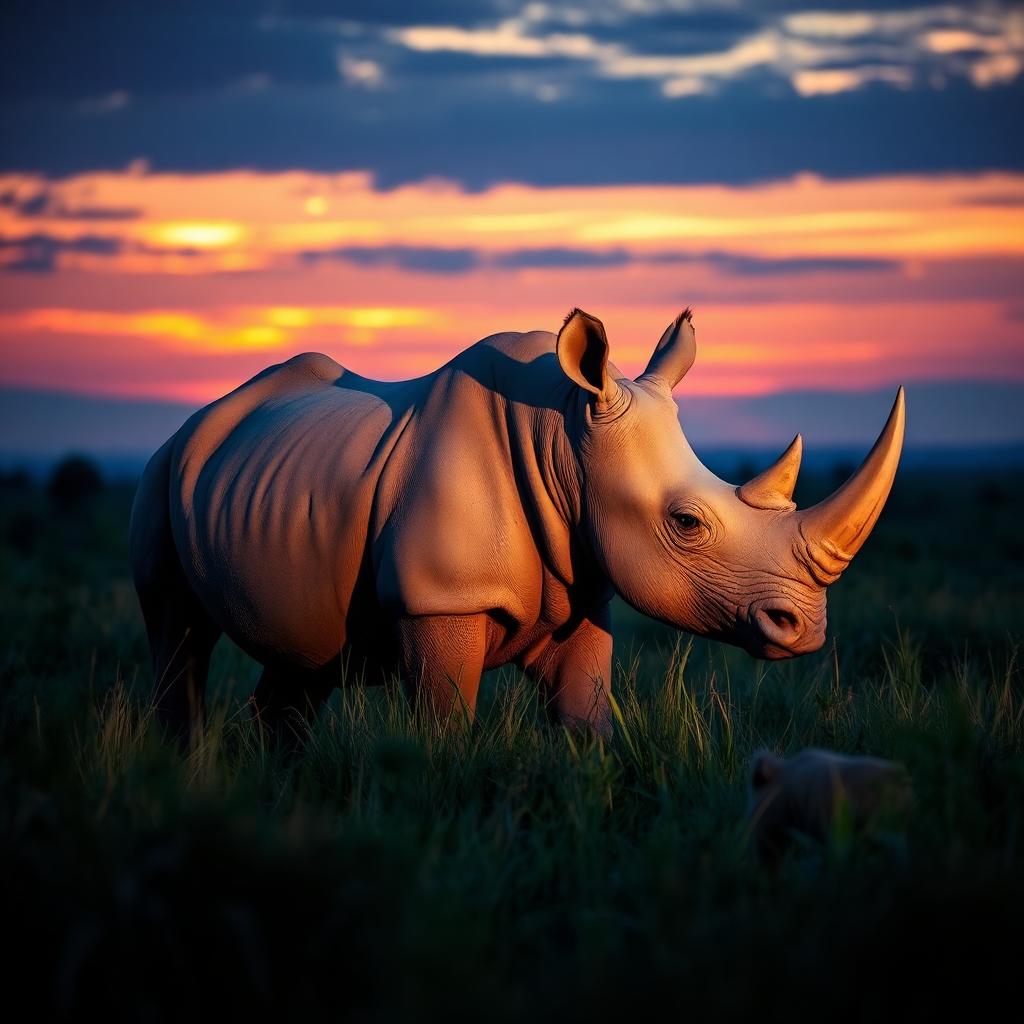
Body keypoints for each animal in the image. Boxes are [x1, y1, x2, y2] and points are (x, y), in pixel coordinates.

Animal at [130, 308, 904, 741]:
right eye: (687, 523)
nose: (806, 630)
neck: (563, 437)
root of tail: (205, 416)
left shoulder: (585, 580)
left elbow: (584, 721)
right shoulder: (439, 596)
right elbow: (445, 724)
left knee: (304, 664)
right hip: (163, 468)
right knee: (177, 630)